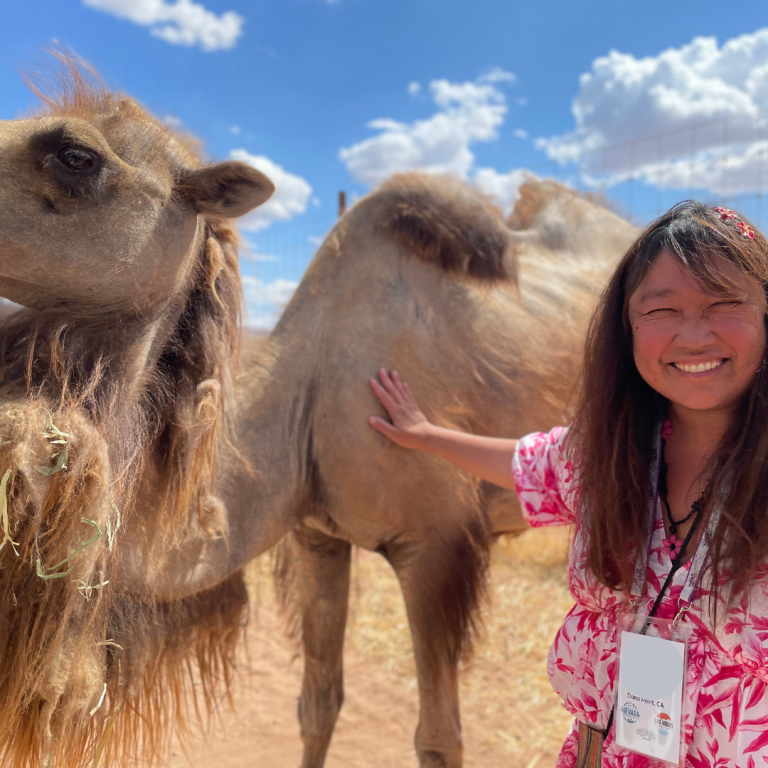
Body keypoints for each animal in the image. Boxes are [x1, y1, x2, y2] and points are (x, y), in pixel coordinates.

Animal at [0, 56, 639, 768]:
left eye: (76, 155)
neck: (304, 406)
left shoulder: (436, 545)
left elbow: (439, 737)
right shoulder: (317, 536)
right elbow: (317, 703)